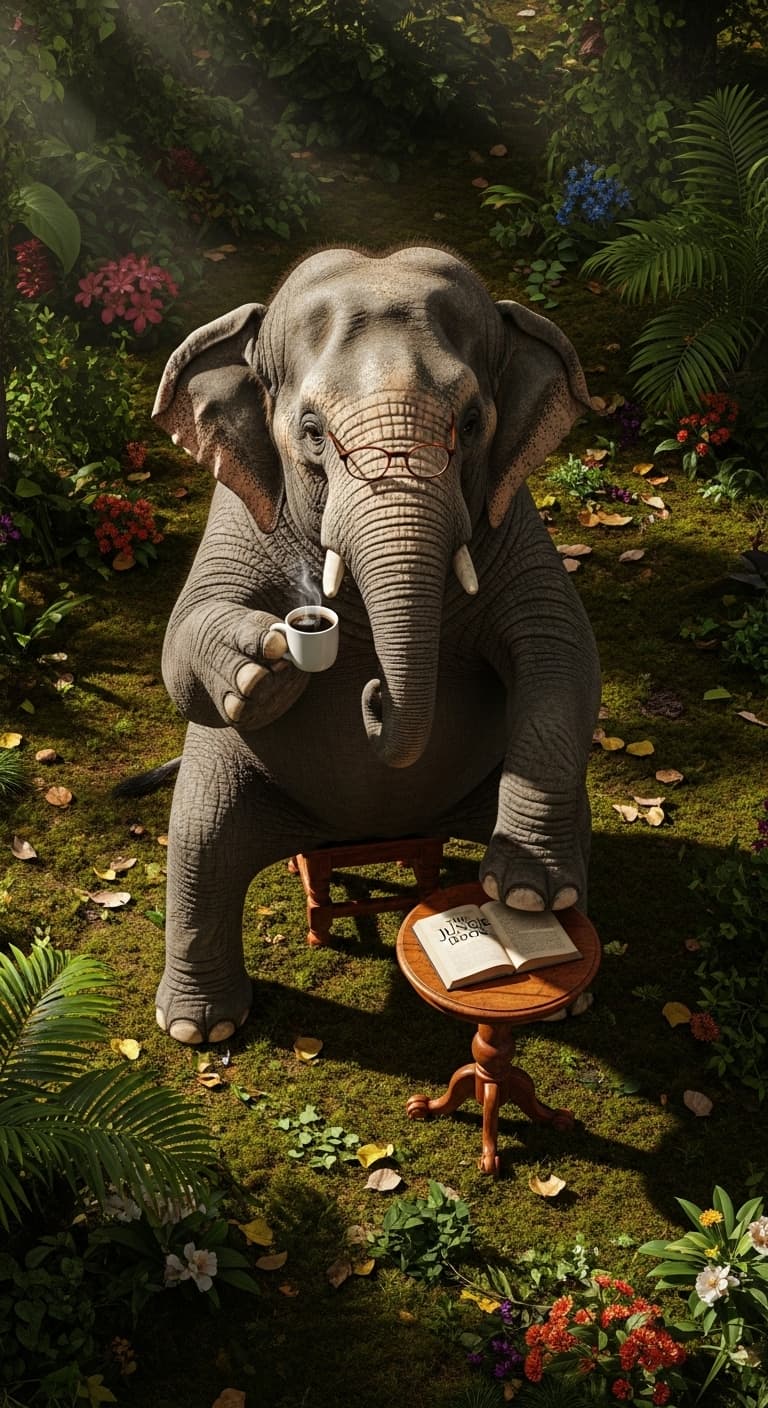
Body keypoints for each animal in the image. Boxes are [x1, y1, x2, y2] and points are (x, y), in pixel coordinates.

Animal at [148, 244, 601, 1045]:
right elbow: (180, 643)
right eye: (311, 431)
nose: (375, 692)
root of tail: (348, 836)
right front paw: (264, 669)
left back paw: (542, 926)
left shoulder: (514, 520)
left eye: (473, 422)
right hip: (228, 785)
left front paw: (524, 896)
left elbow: (563, 654)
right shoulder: (238, 512)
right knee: (201, 843)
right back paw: (203, 1031)